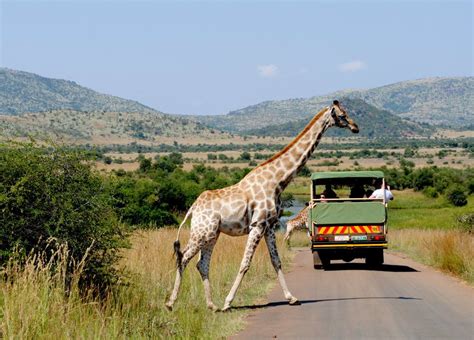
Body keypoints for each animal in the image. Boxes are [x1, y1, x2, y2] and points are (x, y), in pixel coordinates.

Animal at [165, 99, 358, 310]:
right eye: (342, 115)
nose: (355, 127)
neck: (277, 181)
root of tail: (193, 208)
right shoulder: (257, 225)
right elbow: (245, 264)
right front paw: (228, 302)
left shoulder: (270, 226)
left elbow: (276, 261)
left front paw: (292, 298)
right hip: (202, 232)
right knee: (183, 257)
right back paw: (171, 303)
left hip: (212, 234)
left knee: (202, 263)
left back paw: (211, 305)